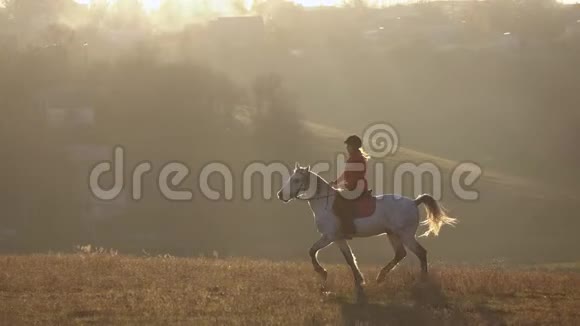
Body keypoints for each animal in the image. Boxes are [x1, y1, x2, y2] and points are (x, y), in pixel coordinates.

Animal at [276, 164, 458, 296]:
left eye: (297, 180)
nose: (280, 195)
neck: (324, 203)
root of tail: (414, 202)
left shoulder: (329, 236)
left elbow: (312, 251)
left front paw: (322, 272)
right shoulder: (338, 238)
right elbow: (349, 259)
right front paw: (359, 281)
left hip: (405, 235)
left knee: (421, 252)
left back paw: (422, 281)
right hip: (392, 234)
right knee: (400, 254)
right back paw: (381, 277)